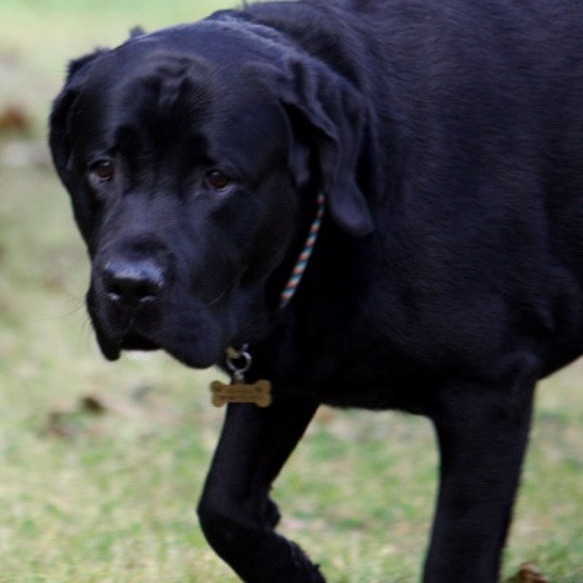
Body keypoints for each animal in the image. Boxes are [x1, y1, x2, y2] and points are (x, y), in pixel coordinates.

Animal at [50, 1, 583, 583]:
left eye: (218, 178)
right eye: (102, 169)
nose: (130, 285)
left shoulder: (487, 390)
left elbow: (456, 554)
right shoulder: (279, 368)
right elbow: (223, 507)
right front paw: (296, 566)